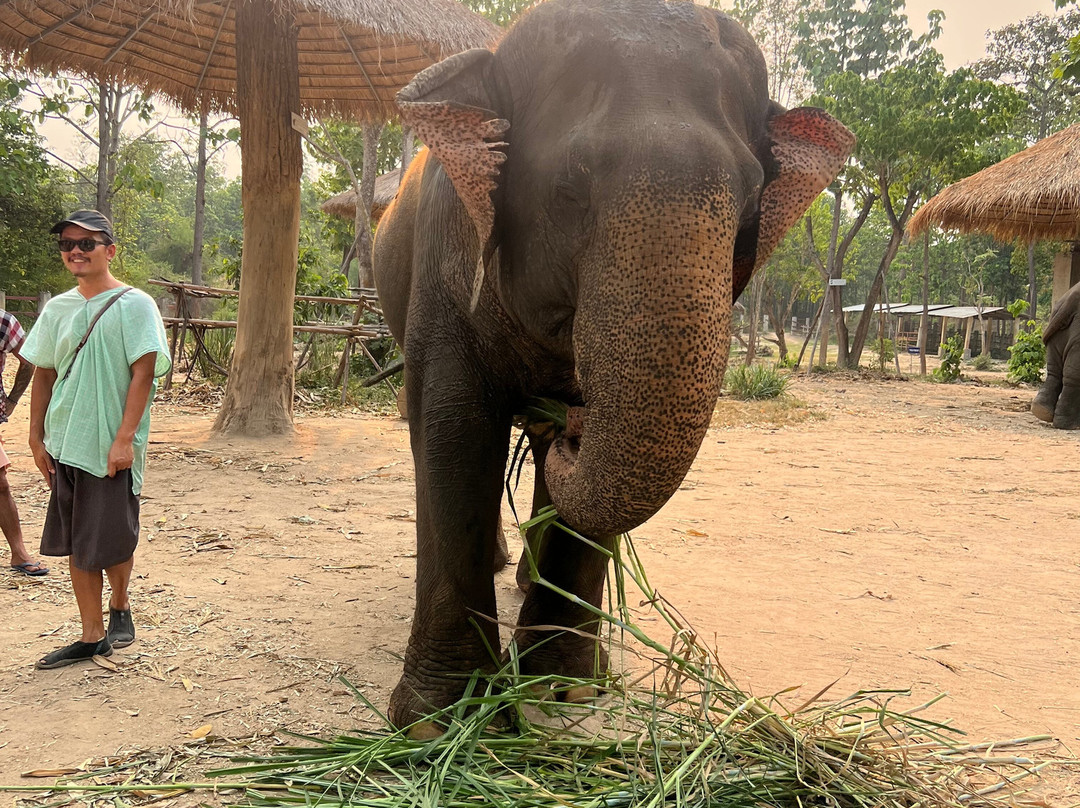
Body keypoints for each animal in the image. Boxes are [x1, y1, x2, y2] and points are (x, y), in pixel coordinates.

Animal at [371, 0, 855, 732]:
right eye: (570, 188)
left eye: (750, 203)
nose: (567, 424)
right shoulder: (444, 257)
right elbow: (454, 428)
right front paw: (442, 720)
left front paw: (563, 689)